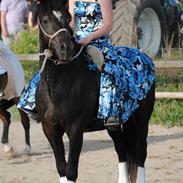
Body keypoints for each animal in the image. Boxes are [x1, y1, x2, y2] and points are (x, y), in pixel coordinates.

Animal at [34, 0, 154, 182]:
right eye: (45, 20)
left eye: (66, 19)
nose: (65, 48)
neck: (57, 85)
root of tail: (145, 58)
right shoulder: (50, 130)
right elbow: (61, 169)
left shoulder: (75, 130)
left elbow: (71, 171)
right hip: (115, 125)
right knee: (121, 150)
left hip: (141, 121)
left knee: (140, 153)